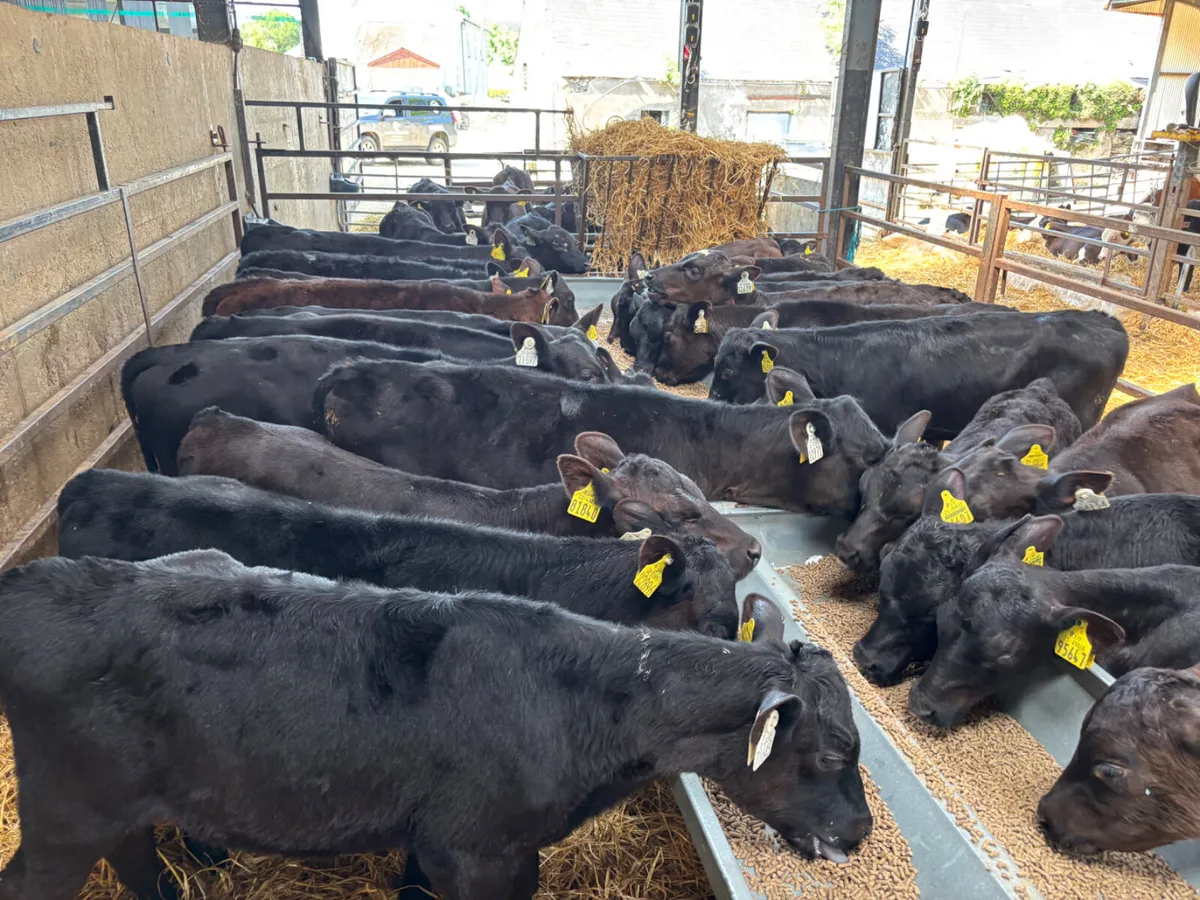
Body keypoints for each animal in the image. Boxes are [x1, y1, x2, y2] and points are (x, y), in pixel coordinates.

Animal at [0, 554, 870, 899]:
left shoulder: (448, 838)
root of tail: (38, 578)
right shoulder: (480, 850)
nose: (861, 833)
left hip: (110, 810)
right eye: (833, 751)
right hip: (64, 816)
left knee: (136, 858)